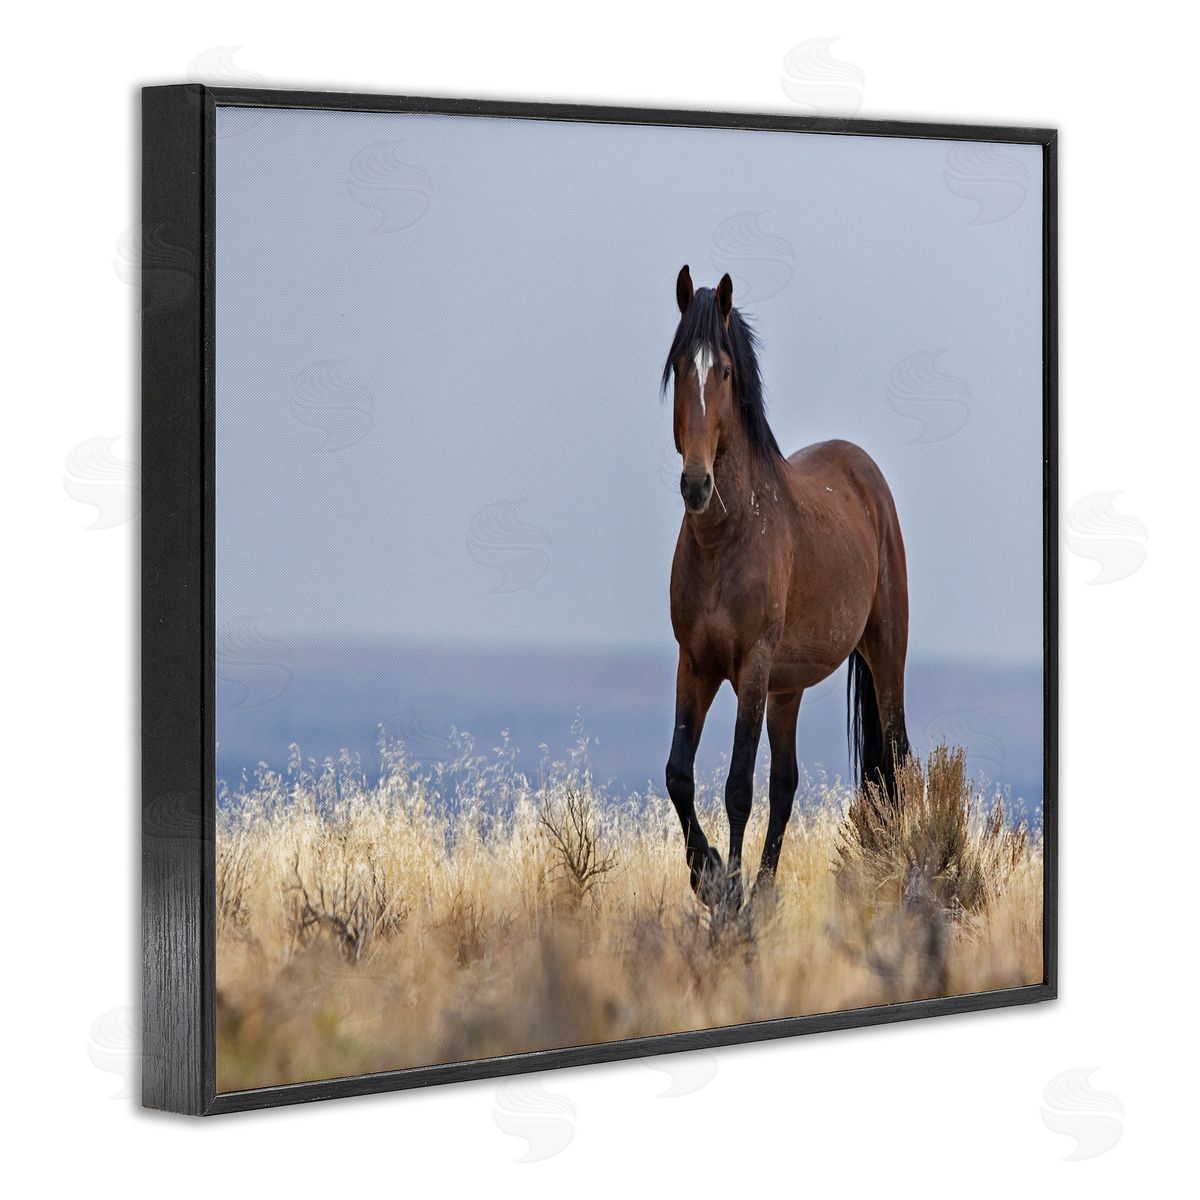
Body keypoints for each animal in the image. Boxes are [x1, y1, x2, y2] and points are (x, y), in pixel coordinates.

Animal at [662, 265, 911, 912]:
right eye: (680, 366)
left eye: (724, 371)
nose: (696, 484)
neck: (727, 540)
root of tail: (866, 474)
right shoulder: (693, 664)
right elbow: (679, 774)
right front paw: (709, 874)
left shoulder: (751, 666)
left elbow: (737, 787)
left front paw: (728, 892)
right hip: (788, 687)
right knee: (786, 782)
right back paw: (768, 891)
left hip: (884, 655)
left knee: (897, 759)